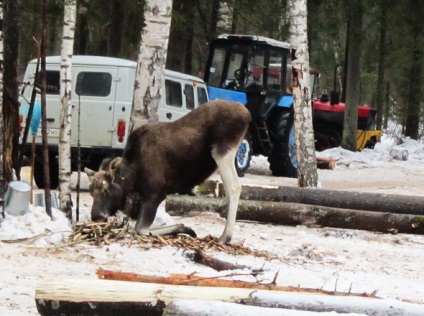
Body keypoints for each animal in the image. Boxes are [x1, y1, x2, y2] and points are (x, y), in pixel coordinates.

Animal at [85, 100, 252, 243]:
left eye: (106, 190)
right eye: (91, 192)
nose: (96, 217)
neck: (132, 176)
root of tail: (248, 114)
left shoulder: (156, 193)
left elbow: (141, 228)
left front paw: (184, 228)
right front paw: (184, 228)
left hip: (222, 152)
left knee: (234, 187)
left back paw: (225, 237)